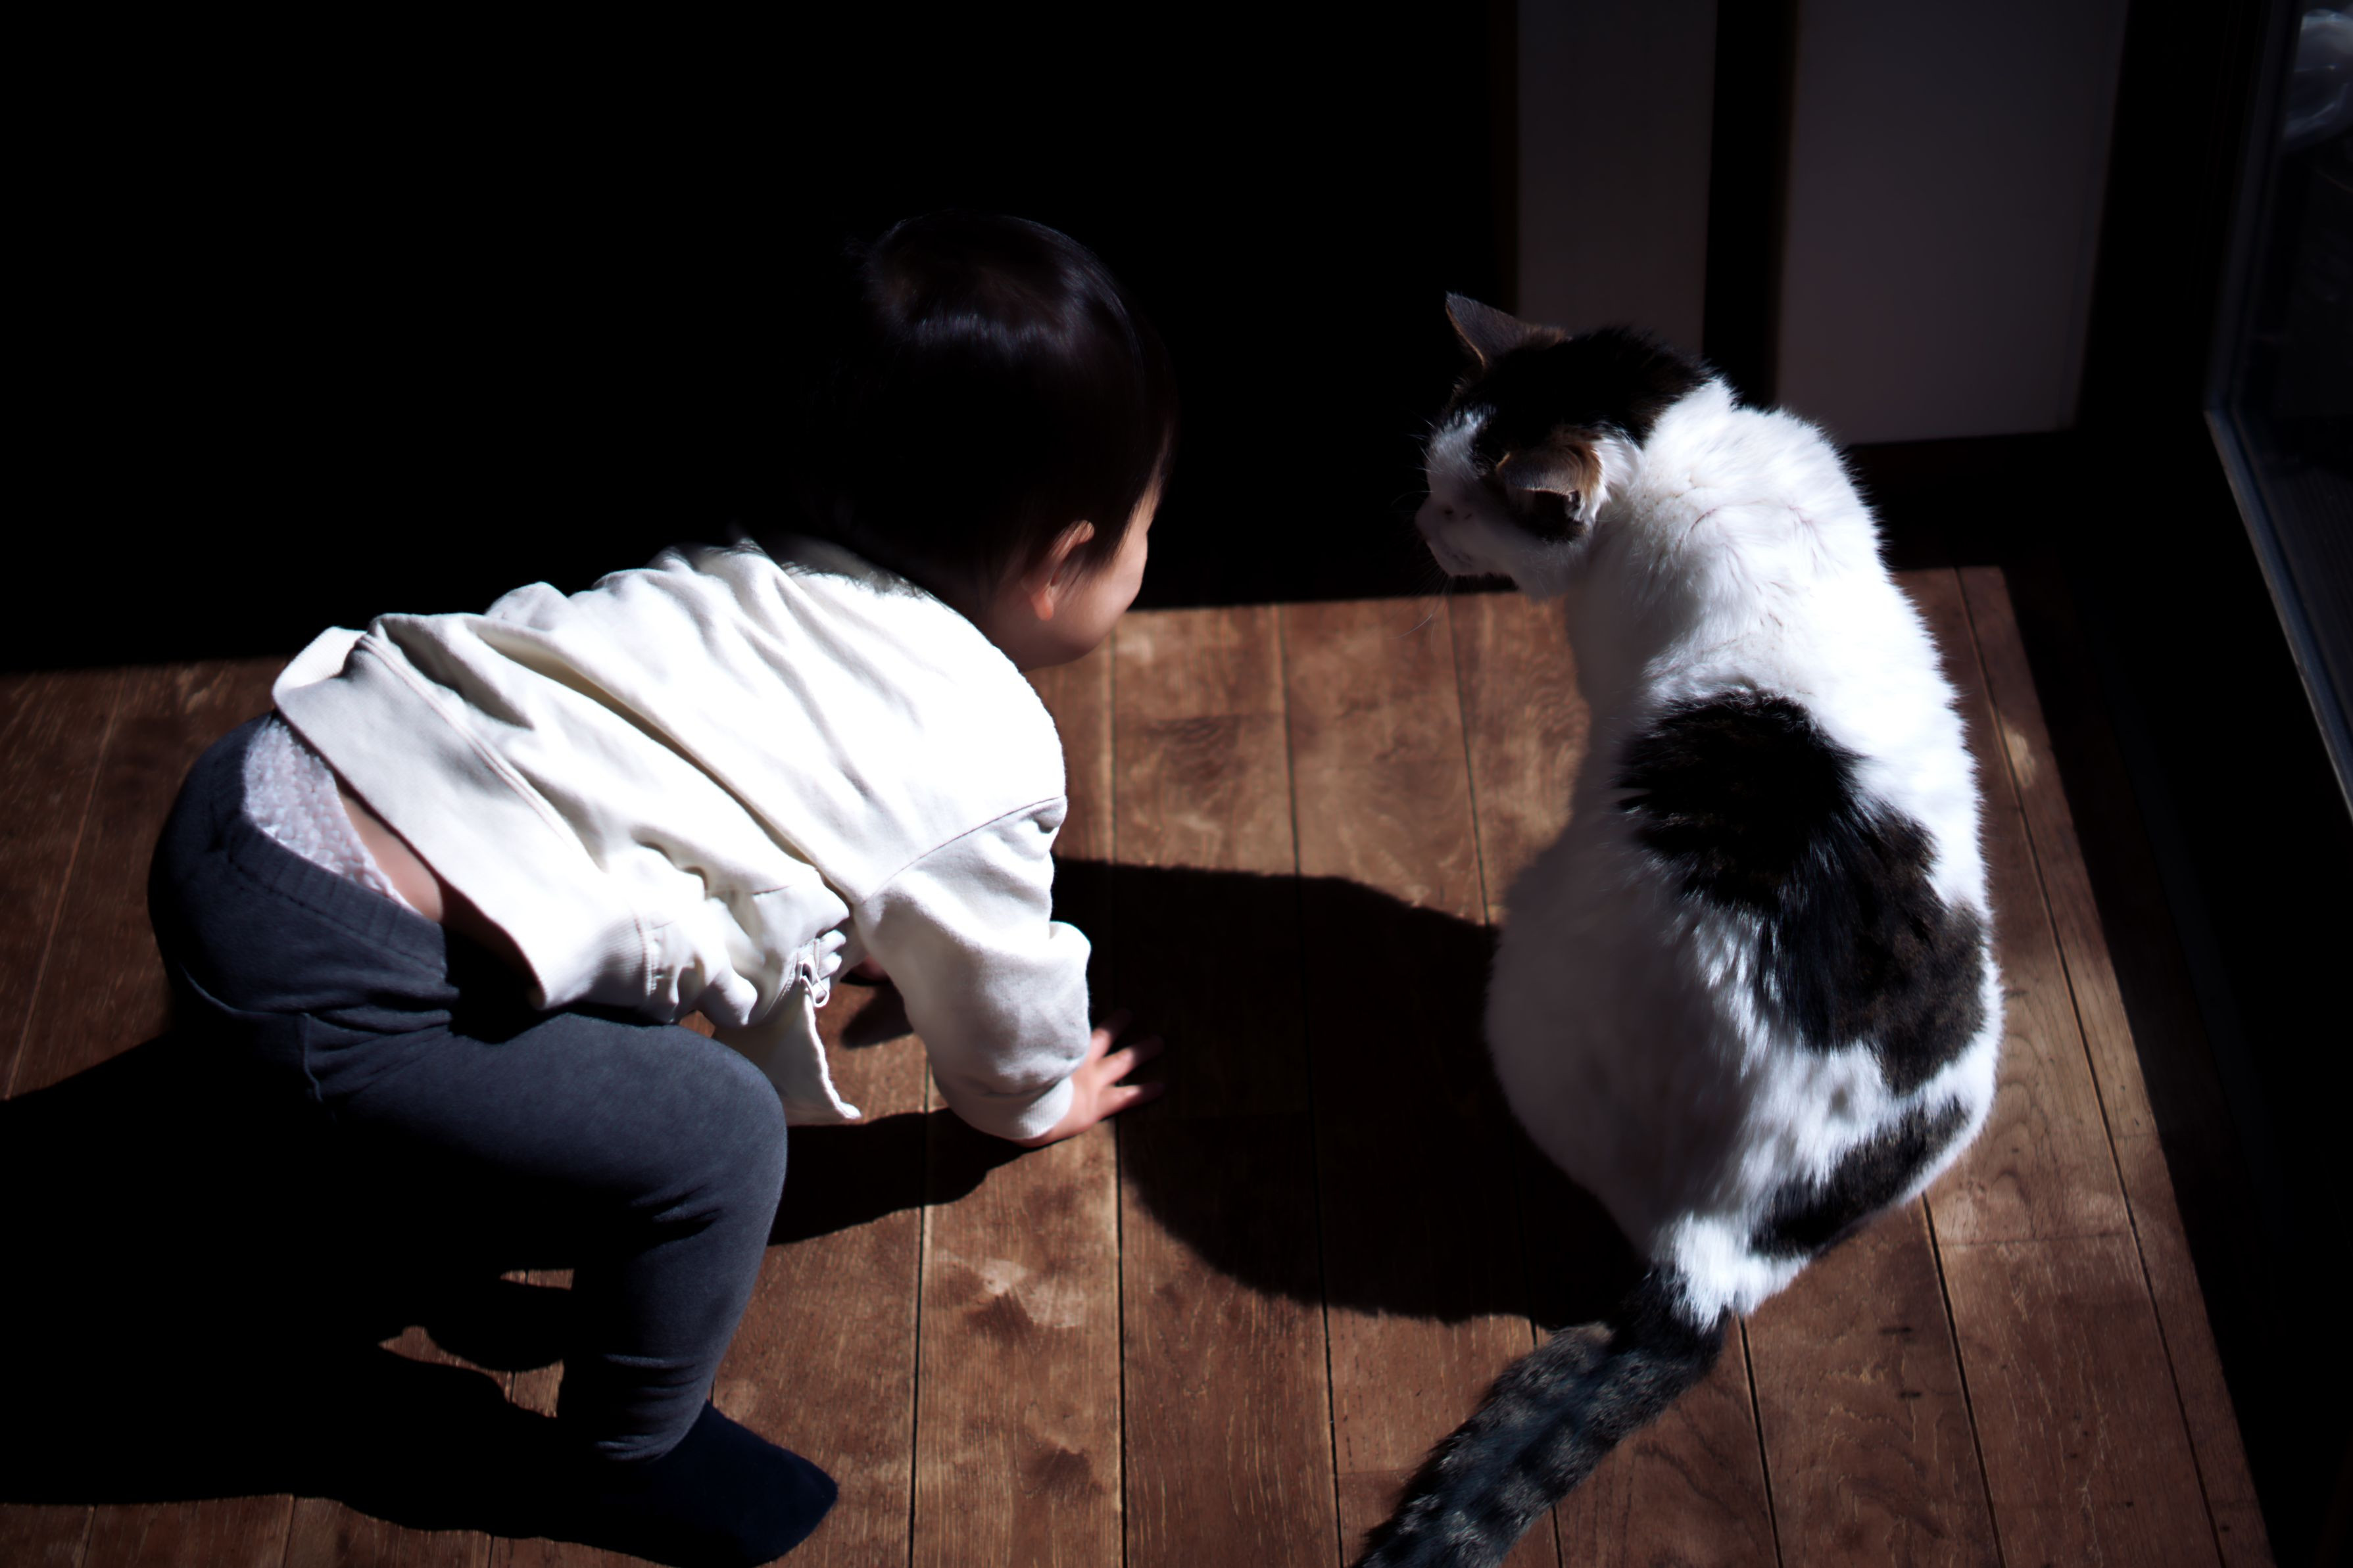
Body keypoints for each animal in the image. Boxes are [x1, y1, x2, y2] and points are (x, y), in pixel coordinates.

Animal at [1358, 297, 2003, 1568]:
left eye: (1460, 503)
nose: (1416, 520)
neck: (1691, 453)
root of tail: (1711, 1247)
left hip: (1522, 974)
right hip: (1973, 1060)